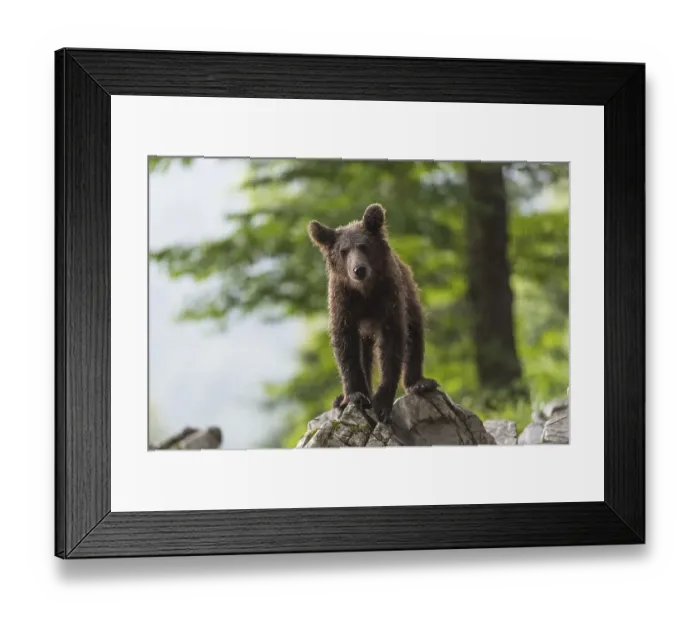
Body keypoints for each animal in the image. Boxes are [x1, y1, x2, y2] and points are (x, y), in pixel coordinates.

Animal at [307, 203, 439, 423]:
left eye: (363, 245)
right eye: (343, 251)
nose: (358, 269)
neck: (365, 291)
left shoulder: (388, 296)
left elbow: (392, 342)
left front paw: (382, 403)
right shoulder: (344, 301)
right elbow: (345, 345)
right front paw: (355, 395)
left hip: (409, 294)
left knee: (414, 333)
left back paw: (418, 382)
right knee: (364, 354)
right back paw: (342, 398)